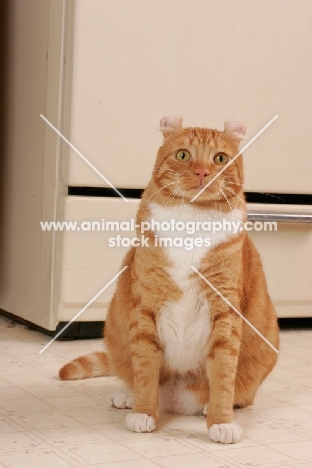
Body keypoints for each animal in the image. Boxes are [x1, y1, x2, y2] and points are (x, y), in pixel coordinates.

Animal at [59, 116, 280, 442]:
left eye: (220, 159)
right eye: (184, 155)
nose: (202, 172)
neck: (192, 221)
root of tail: (179, 401)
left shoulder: (225, 312)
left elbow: (223, 371)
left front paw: (220, 421)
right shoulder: (145, 308)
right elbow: (145, 368)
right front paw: (144, 412)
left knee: (241, 394)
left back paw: (207, 406)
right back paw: (128, 397)